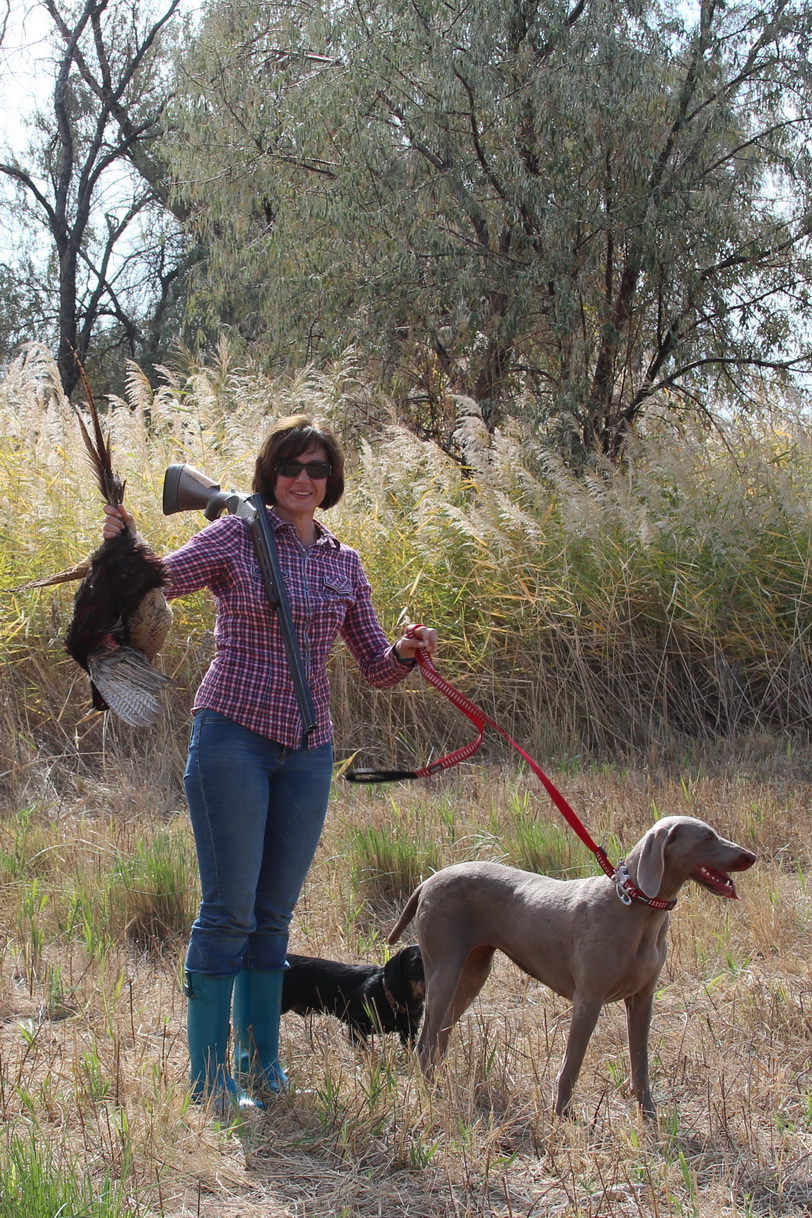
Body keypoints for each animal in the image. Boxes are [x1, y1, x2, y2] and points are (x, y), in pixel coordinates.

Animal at [388, 816, 755, 1118]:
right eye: (707, 837)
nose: (751, 856)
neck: (636, 905)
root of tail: (429, 881)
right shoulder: (588, 1000)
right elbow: (571, 1065)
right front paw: (563, 1115)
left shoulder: (642, 999)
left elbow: (640, 1062)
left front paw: (648, 1114)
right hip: (445, 970)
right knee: (425, 1043)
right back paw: (430, 1096)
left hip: (472, 974)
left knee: (439, 1038)